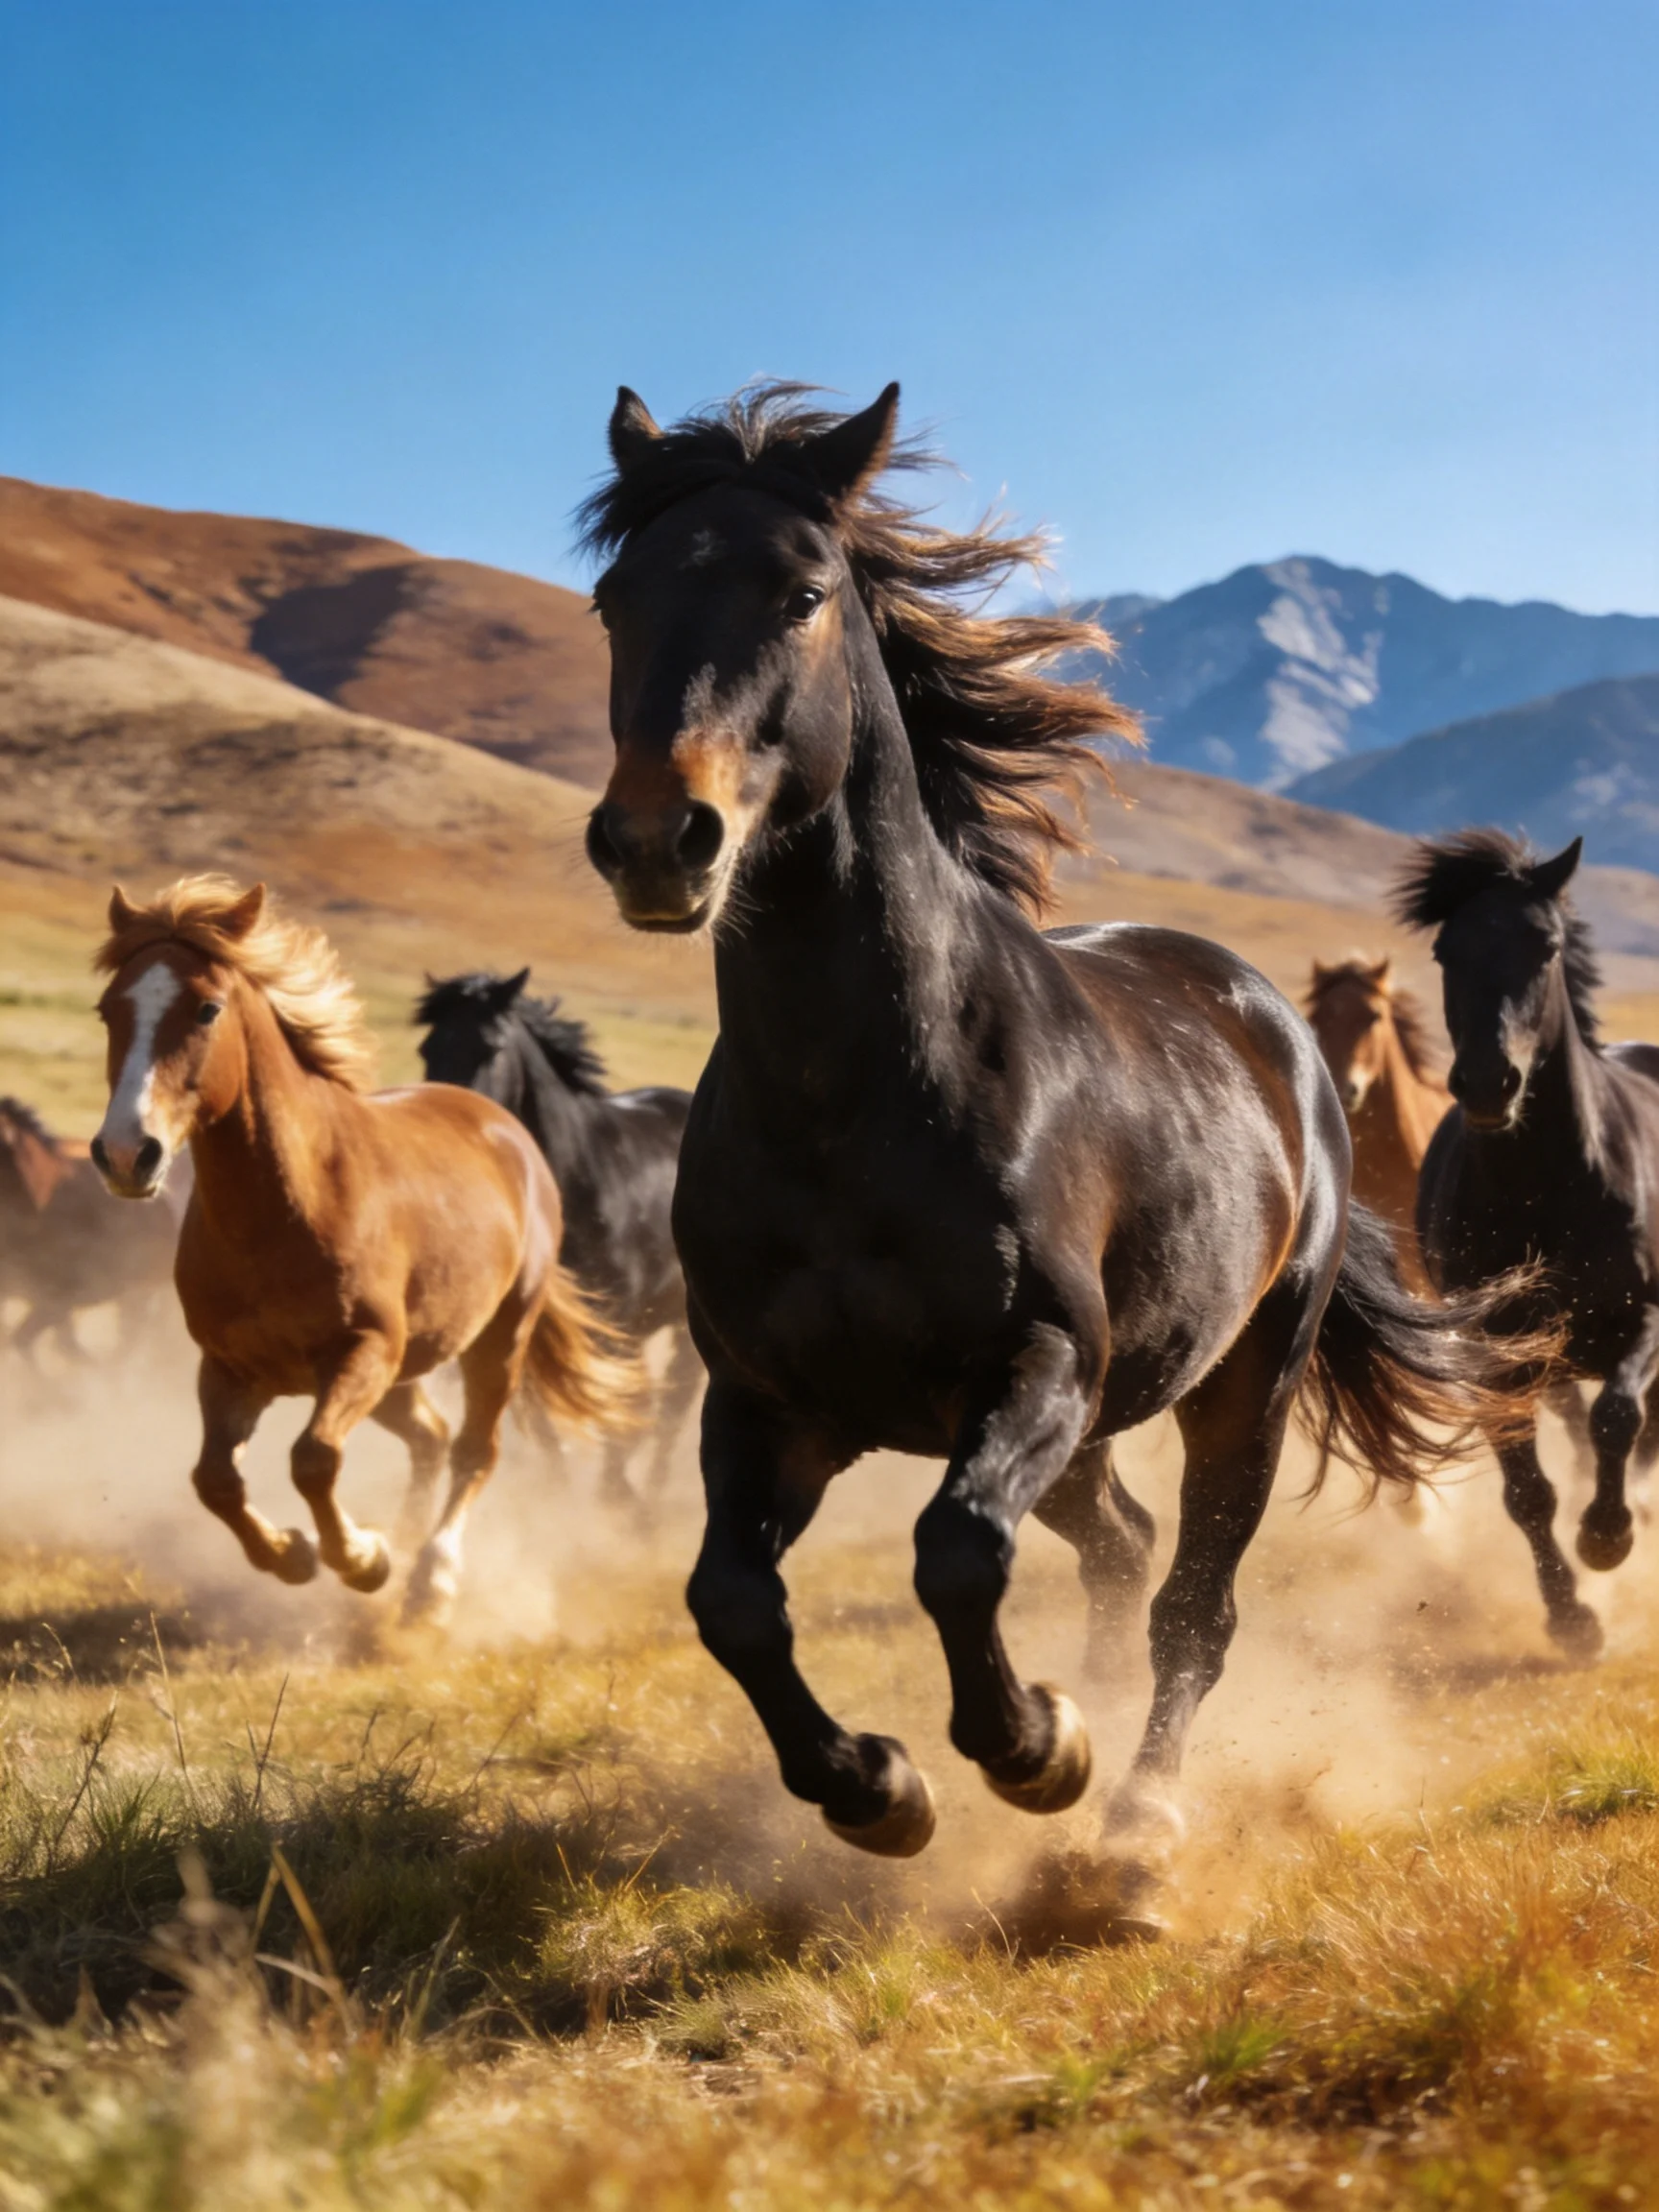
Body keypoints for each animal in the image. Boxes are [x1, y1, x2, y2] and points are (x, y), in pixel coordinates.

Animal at [90, 876, 637, 1625]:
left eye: (206, 1008)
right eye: (107, 1010)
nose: (125, 1153)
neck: (290, 1208)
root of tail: (507, 1129)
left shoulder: (363, 1351)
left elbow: (313, 1458)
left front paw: (361, 1557)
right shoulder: (230, 1367)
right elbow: (214, 1480)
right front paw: (294, 1554)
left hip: (495, 1341)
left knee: (474, 1450)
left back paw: (430, 1578)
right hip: (403, 1372)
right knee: (431, 1436)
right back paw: (405, 1543)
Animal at [415, 970, 700, 1511]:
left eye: (490, 1046)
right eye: (428, 1046)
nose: (444, 1122)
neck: (581, 1179)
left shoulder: (615, 1324)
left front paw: (617, 1499)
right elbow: (547, 1425)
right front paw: (559, 1493)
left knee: (673, 1404)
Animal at [576, 379, 1544, 1861]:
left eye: (801, 592)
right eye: (614, 600)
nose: (651, 840)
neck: (852, 1103)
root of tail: (1270, 1018)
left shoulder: (1035, 1365)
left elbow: (958, 1552)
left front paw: (1035, 1750)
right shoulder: (763, 1399)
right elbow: (730, 1601)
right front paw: (879, 1789)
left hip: (1239, 1385)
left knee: (1192, 1600)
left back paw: (1136, 1820)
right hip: (1095, 1428)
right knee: (1126, 1546)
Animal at [1402, 829, 1659, 1659]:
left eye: (1544, 946)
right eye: (1446, 951)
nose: (1490, 1083)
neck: (1543, 1189)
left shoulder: (1644, 1319)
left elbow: (1619, 1418)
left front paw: (1608, 1538)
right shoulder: (1494, 1357)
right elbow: (1527, 1492)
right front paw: (1572, 1617)